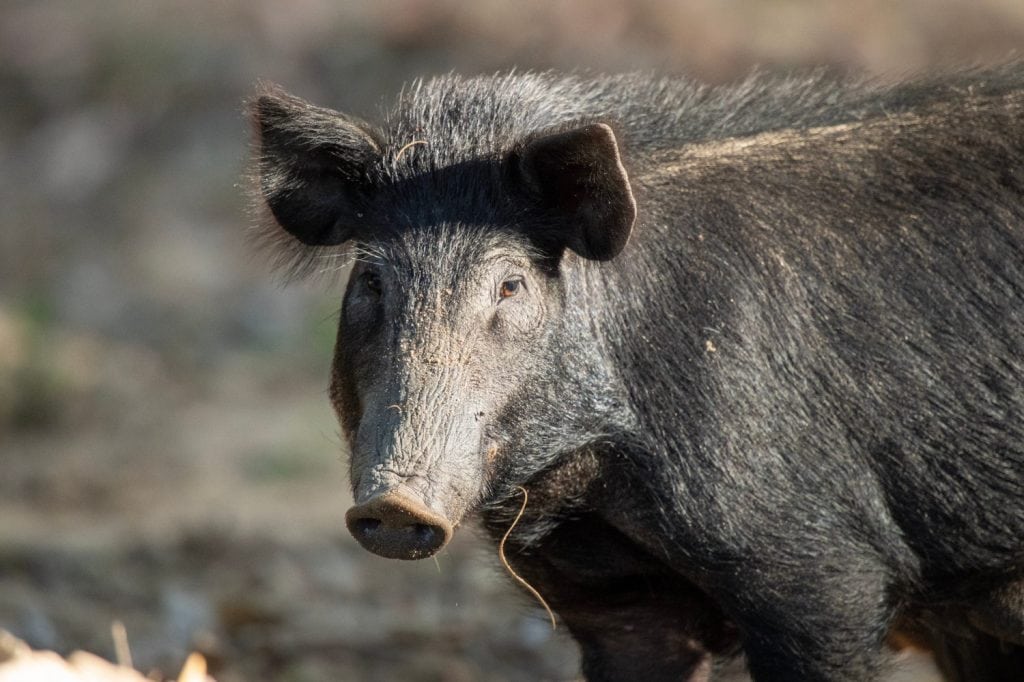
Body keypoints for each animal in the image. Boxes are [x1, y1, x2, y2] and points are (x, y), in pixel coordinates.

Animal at [247, 66, 1024, 681]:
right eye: (371, 281)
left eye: (510, 285)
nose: (395, 504)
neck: (600, 484)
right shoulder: (618, 605)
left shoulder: (824, 575)